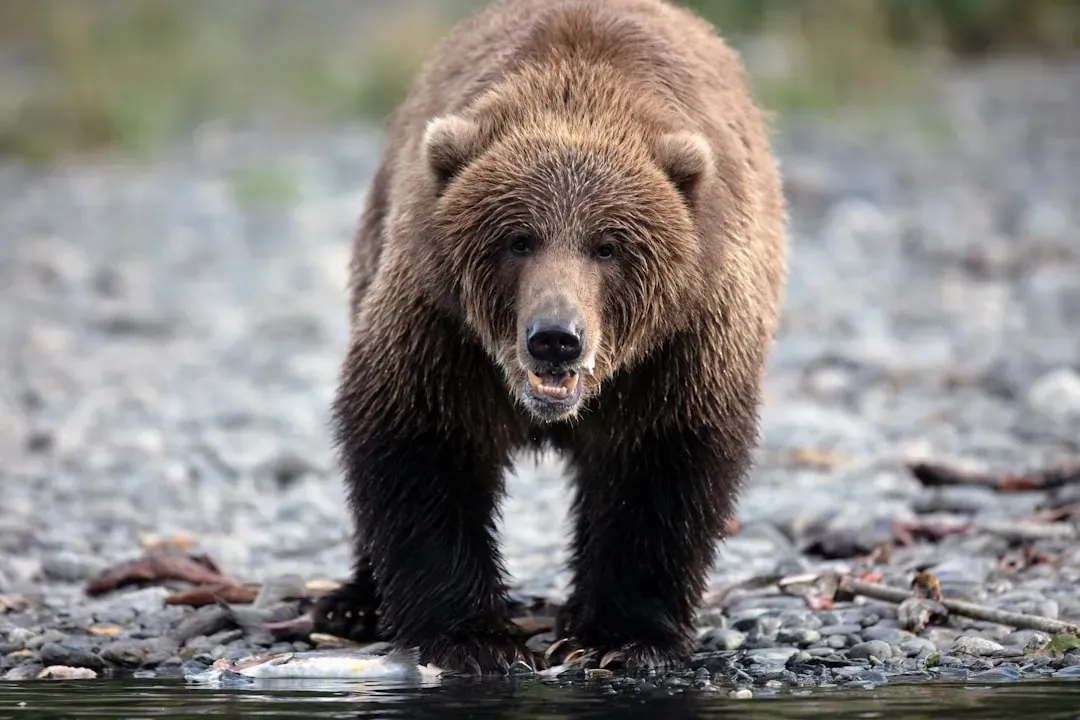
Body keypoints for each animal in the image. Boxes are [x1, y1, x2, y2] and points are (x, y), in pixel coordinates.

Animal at [312, 0, 788, 675]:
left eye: (608, 245)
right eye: (518, 239)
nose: (556, 338)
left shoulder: (682, 345)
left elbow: (661, 468)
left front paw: (619, 638)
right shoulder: (443, 330)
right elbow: (418, 442)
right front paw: (472, 637)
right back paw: (351, 603)